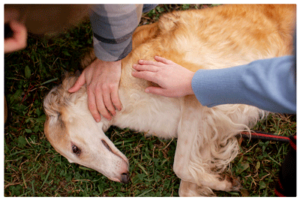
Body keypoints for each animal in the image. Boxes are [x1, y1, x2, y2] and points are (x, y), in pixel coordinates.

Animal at [43, 4, 296, 197]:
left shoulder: (195, 87)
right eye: (74, 159)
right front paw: (216, 182)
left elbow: (180, 165)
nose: (124, 178)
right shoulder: (209, 128)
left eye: (75, 149)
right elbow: (187, 182)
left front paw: (223, 182)